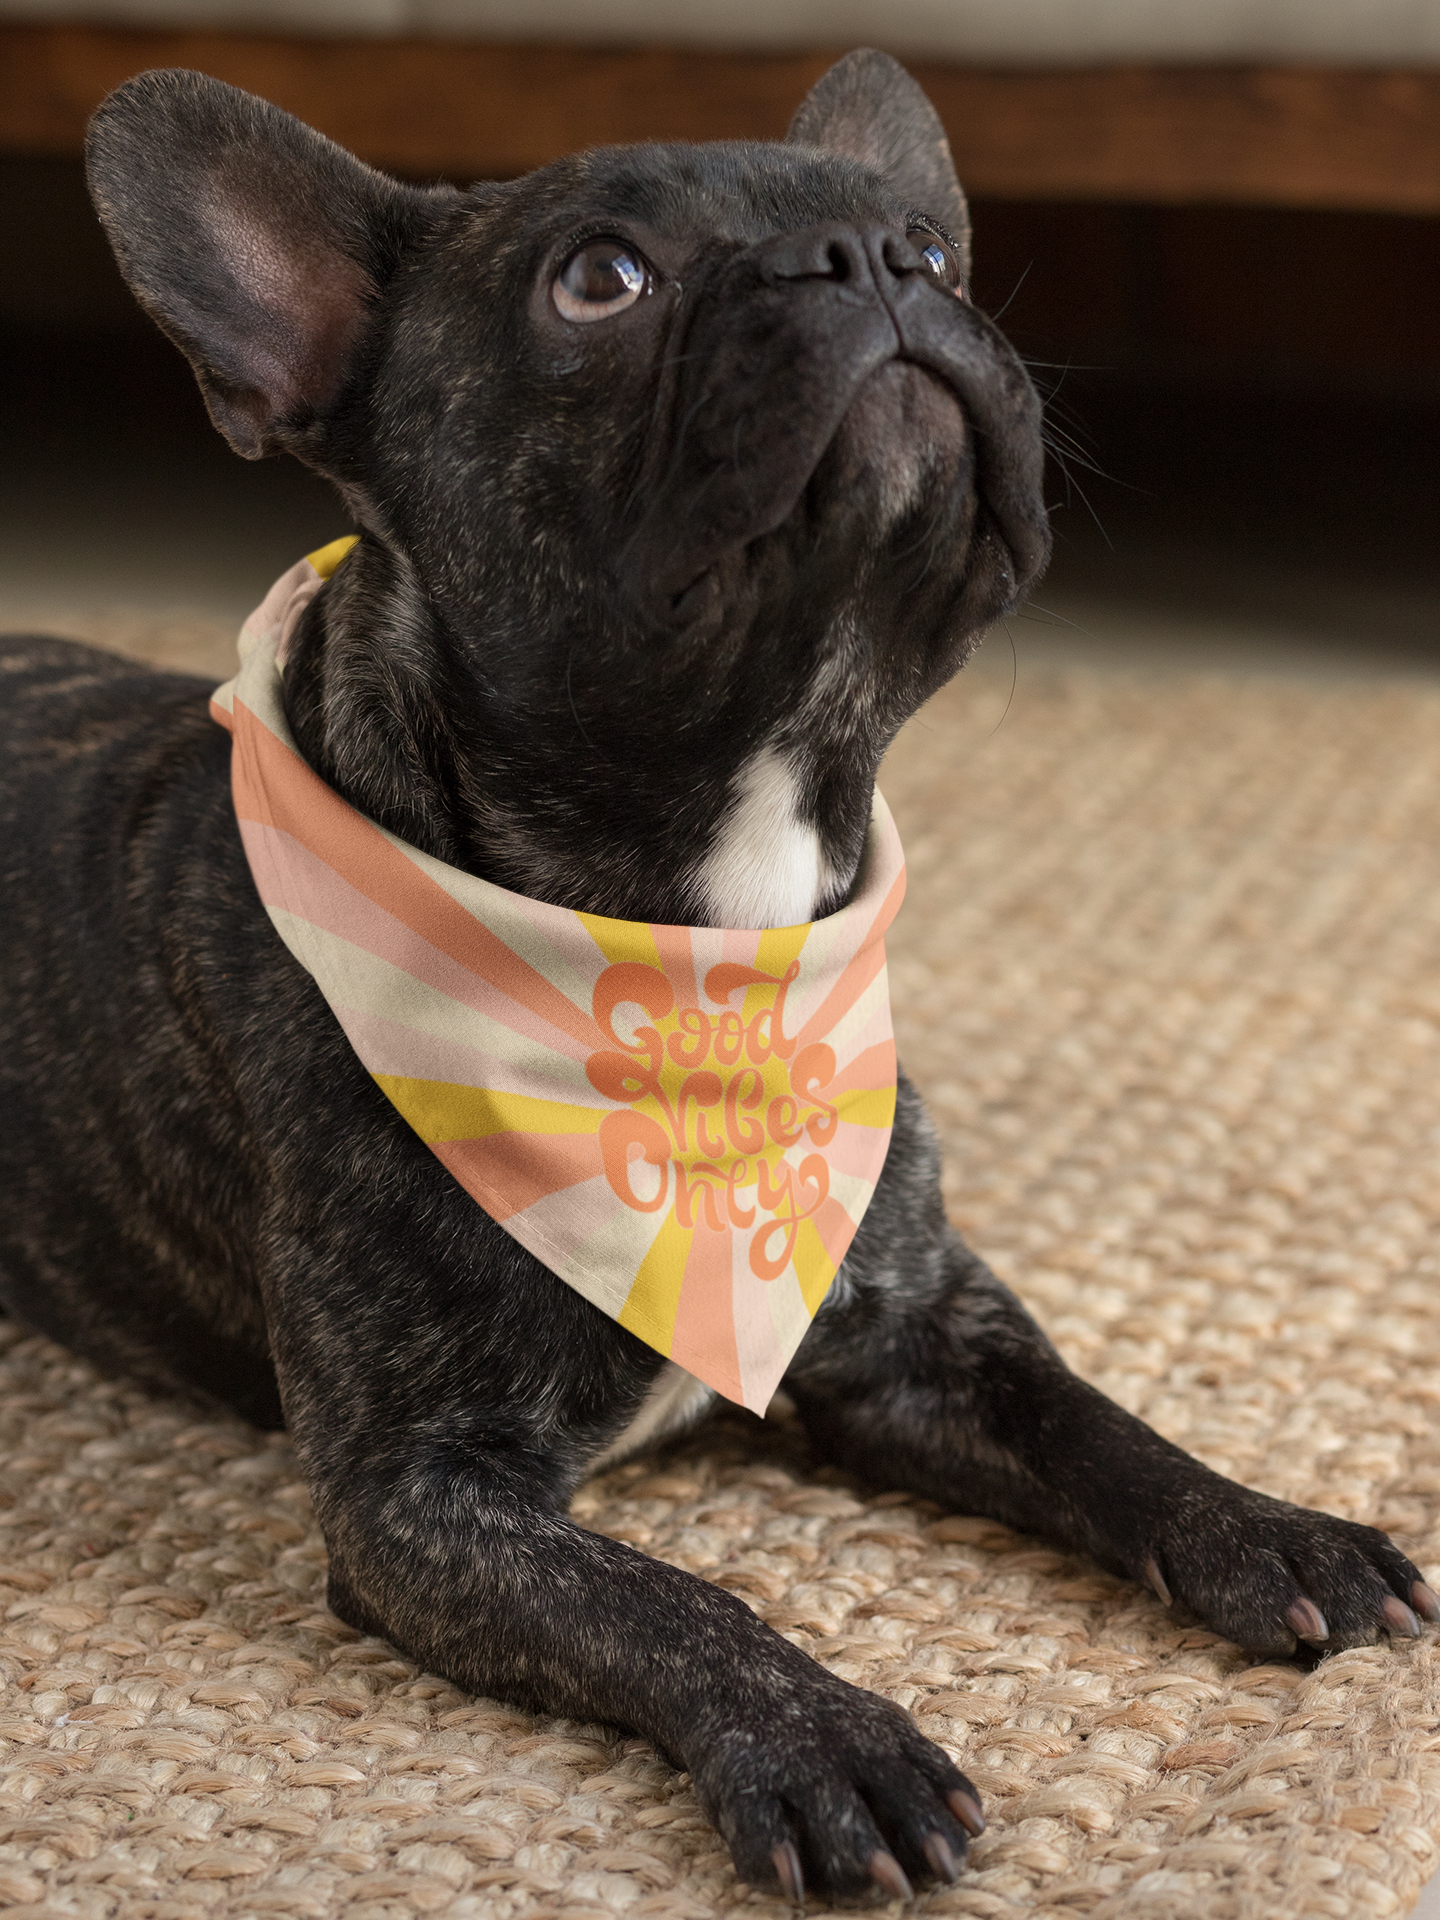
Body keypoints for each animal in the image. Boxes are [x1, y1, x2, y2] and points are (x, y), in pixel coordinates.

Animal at [0, 48, 1436, 1904]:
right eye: (600, 279)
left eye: (933, 247)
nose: (874, 260)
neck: (698, 951)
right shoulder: (423, 1501)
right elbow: (666, 1602)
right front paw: (827, 1742)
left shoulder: (921, 1331)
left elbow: (1095, 1423)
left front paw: (1272, 1524)